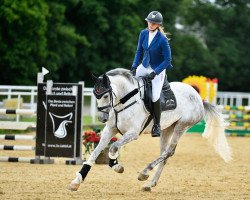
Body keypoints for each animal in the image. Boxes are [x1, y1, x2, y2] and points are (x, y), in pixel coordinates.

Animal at [67, 68, 231, 191]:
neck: (124, 101)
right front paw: (76, 181)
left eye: (106, 95)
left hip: (181, 126)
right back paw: (150, 183)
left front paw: (116, 166)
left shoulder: (132, 133)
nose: (102, 118)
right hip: (167, 129)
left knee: (168, 152)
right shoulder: (110, 130)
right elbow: (94, 153)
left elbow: (113, 147)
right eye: (96, 95)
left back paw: (144, 173)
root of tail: (198, 97)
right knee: (165, 155)